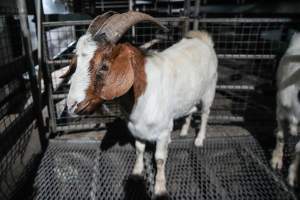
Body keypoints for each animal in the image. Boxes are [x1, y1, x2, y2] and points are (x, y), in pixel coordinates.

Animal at [63, 10, 218, 195]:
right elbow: (139, 150)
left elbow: (159, 159)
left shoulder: (163, 131)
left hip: (209, 90)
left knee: (205, 113)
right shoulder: (136, 129)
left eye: (104, 66)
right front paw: (136, 174)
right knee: (191, 110)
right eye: (75, 63)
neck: (142, 96)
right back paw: (183, 132)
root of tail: (203, 40)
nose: (72, 105)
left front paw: (160, 188)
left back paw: (199, 140)